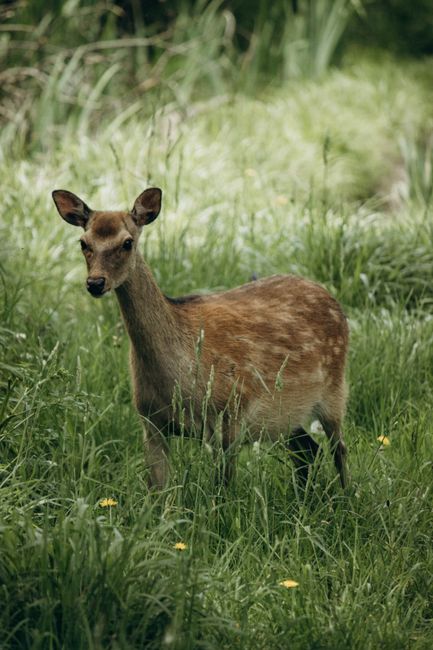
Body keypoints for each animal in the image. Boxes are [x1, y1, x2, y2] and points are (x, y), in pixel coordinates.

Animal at [52, 187, 349, 490]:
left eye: (127, 242)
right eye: (83, 243)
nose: (95, 283)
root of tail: (331, 299)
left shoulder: (229, 417)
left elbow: (223, 490)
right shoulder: (150, 421)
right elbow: (158, 491)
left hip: (335, 389)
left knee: (339, 449)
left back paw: (346, 495)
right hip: (286, 415)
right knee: (307, 450)